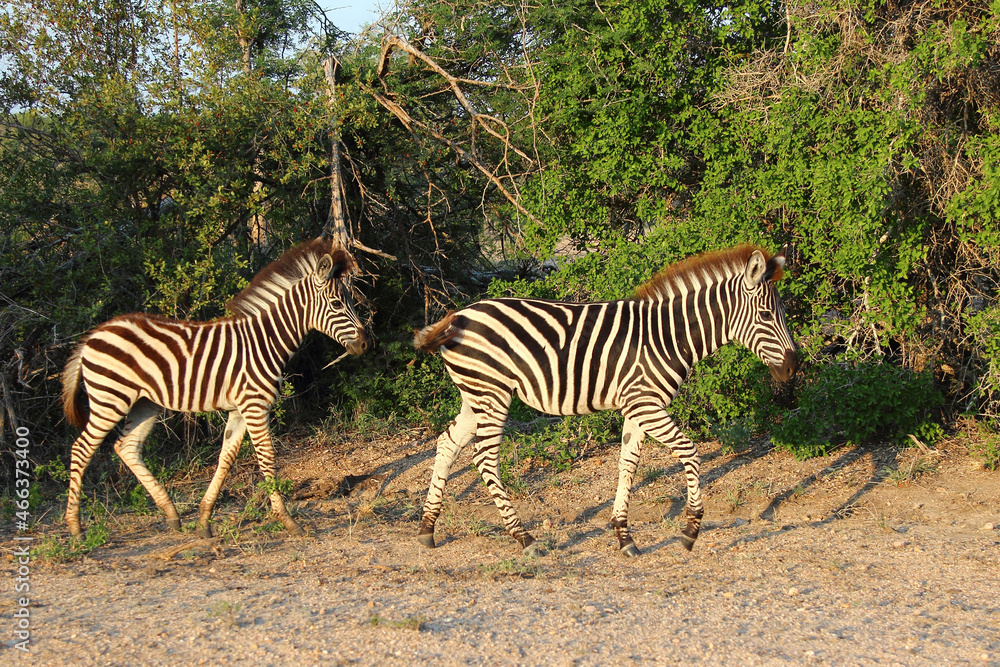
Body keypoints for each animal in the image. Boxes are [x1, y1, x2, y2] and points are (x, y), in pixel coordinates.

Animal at [61, 237, 368, 540]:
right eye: (337, 304)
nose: (365, 344)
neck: (265, 341)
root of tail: (94, 334)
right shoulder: (255, 406)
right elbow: (267, 458)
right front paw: (288, 521)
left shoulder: (239, 410)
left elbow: (226, 459)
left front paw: (204, 520)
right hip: (110, 399)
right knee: (81, 449)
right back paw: (76, 529)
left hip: (144, 403)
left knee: (127, 446)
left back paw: (171, 514)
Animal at [413, 244, 797, 556]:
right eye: (766, 316)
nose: (795, 367)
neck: (667, 336)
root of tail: (459, 315)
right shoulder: (647, 404)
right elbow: (690, 452)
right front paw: (690, 530)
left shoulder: (637, 407)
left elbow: (627, 465)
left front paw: (624, 536)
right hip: (493, 394)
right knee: (485, 459)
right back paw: (524, 538)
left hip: (475, 396)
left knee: (447, 444)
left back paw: (427, 528)